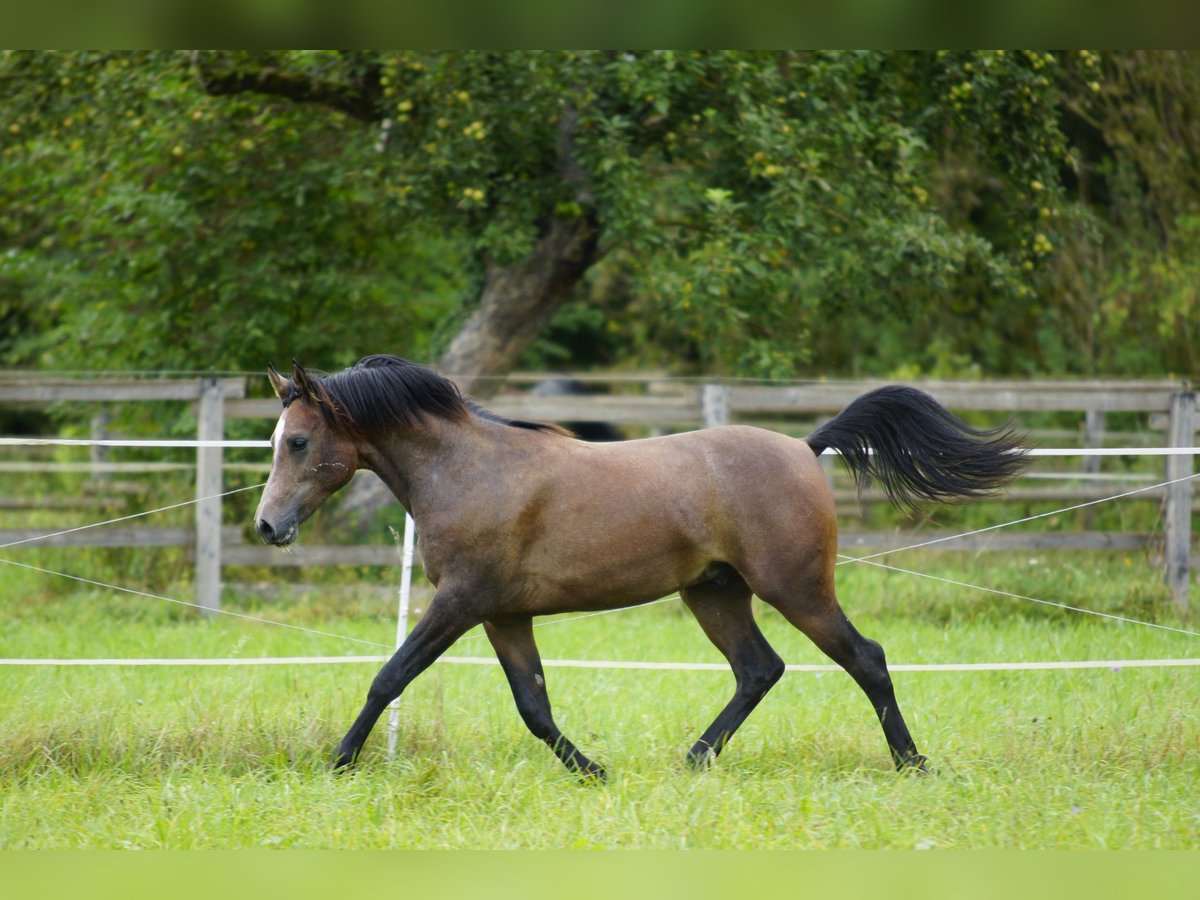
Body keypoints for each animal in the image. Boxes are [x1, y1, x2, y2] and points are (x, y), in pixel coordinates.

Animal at [253, 355, 1022, 777]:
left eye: (297, 442)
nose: (267, 526)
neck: (469, 470)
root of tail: (806, 447)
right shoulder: (504, 614)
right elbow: (534, 706)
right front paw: (595, 772)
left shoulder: (460, 603)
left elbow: (389, 678)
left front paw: (338, 763)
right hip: (715, 595)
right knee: (759, 669)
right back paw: (694, 759)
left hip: (797, 588)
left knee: (867, 658)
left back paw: (913, 764)